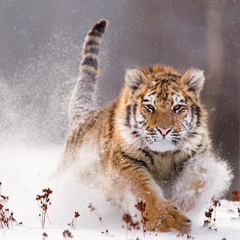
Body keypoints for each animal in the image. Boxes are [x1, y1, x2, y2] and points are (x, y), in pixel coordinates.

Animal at [58, 19, 232, 233]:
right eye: (150, 107)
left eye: (177, 108)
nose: (164, 130)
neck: (164, 156)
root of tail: (85, 117)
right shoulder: (126, 163)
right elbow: (144, 192)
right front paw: (168, 220)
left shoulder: (199, 156)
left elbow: (199, 177)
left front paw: (183, 201)